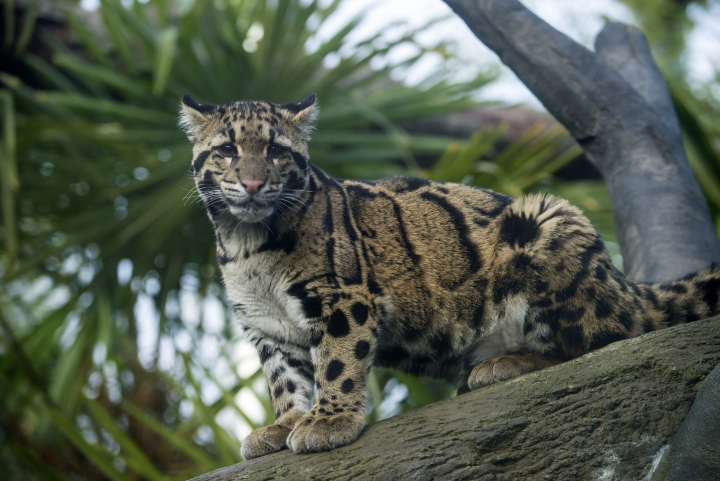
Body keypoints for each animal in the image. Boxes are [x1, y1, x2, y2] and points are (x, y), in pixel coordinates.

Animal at [178, 93, 720, 459]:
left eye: (275, 151)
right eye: (227, 149)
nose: (253, 183)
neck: (247, 241)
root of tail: (625, 284)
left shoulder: (343, 298)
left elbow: (337, 362)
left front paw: (327, 422)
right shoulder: (265, 325)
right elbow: (285, 380)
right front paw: (285, 423)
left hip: (545, 219)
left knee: (600, 343)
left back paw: (505, 364)